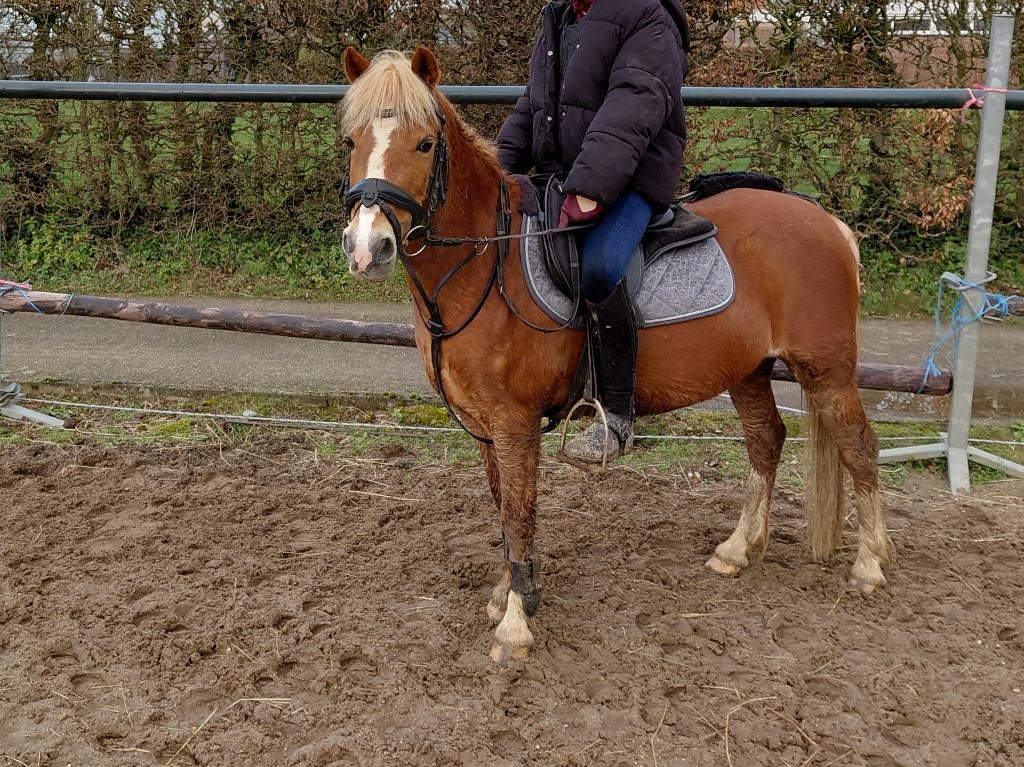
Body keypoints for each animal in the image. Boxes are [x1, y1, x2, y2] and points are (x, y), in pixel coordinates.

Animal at [340, 47, 893, 664]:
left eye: (424, 144)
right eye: (350, 141)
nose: (367, 248)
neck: (487, 263)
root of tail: (827, 222)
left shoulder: (514, 423)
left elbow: (519, 513)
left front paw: (515, 625)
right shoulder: (484, 427)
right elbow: (504, 508)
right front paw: (513, 592)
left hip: (826, 370)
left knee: (859, 448)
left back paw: (869, 565)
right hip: (748, 369)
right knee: (766, 441)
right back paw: (736, 549)